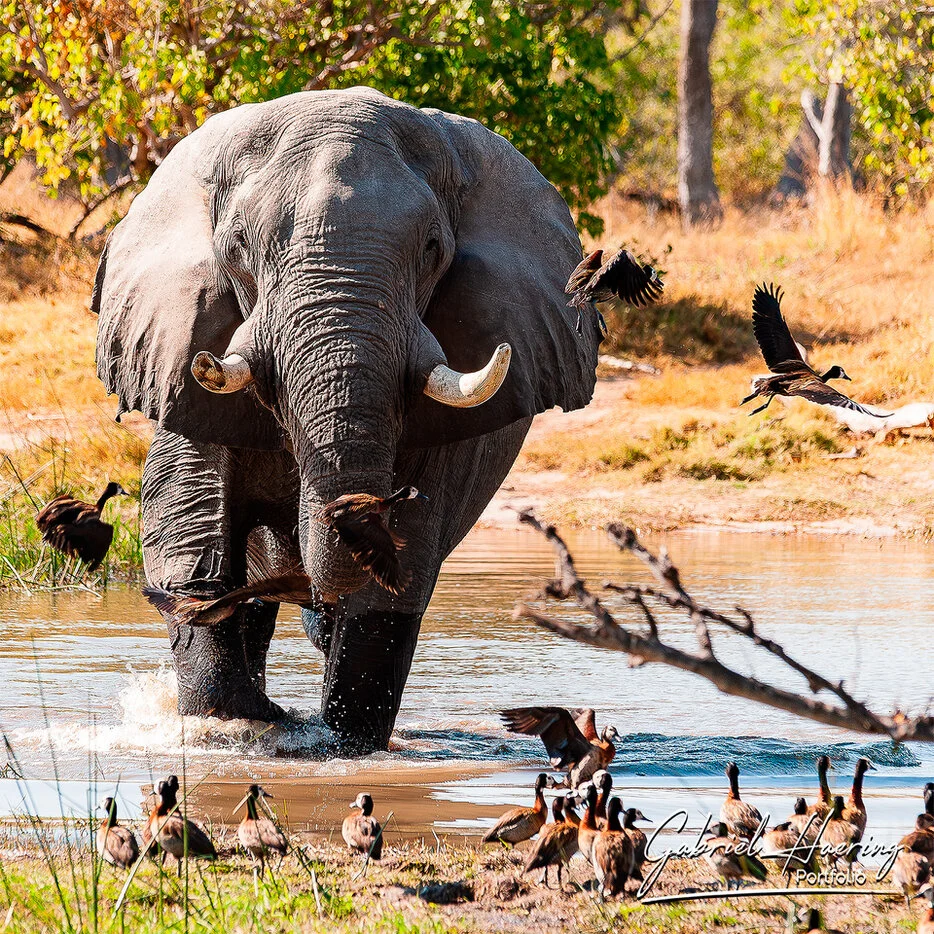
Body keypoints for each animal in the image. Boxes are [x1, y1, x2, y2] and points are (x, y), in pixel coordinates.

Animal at [92, 86, 602, 754]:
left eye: (433, 249)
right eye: (237, 248)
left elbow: (396, 570)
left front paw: (346, 749)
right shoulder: (183, 346)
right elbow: (191, 524)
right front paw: (233, 727)